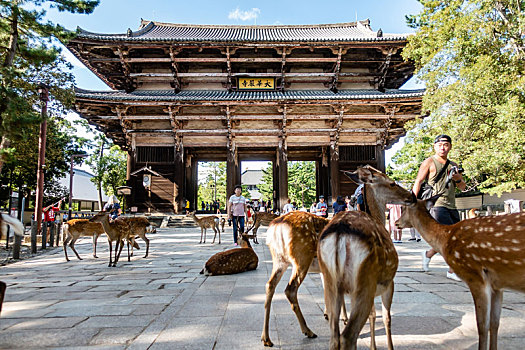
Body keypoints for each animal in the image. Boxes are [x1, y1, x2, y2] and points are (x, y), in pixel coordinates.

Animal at [396, 194, 524, 350]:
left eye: (403, 208)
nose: (396, 222)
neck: (445, 239)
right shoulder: (498, 285)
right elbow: (495, 324)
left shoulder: (475, 276)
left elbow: (482, 325)